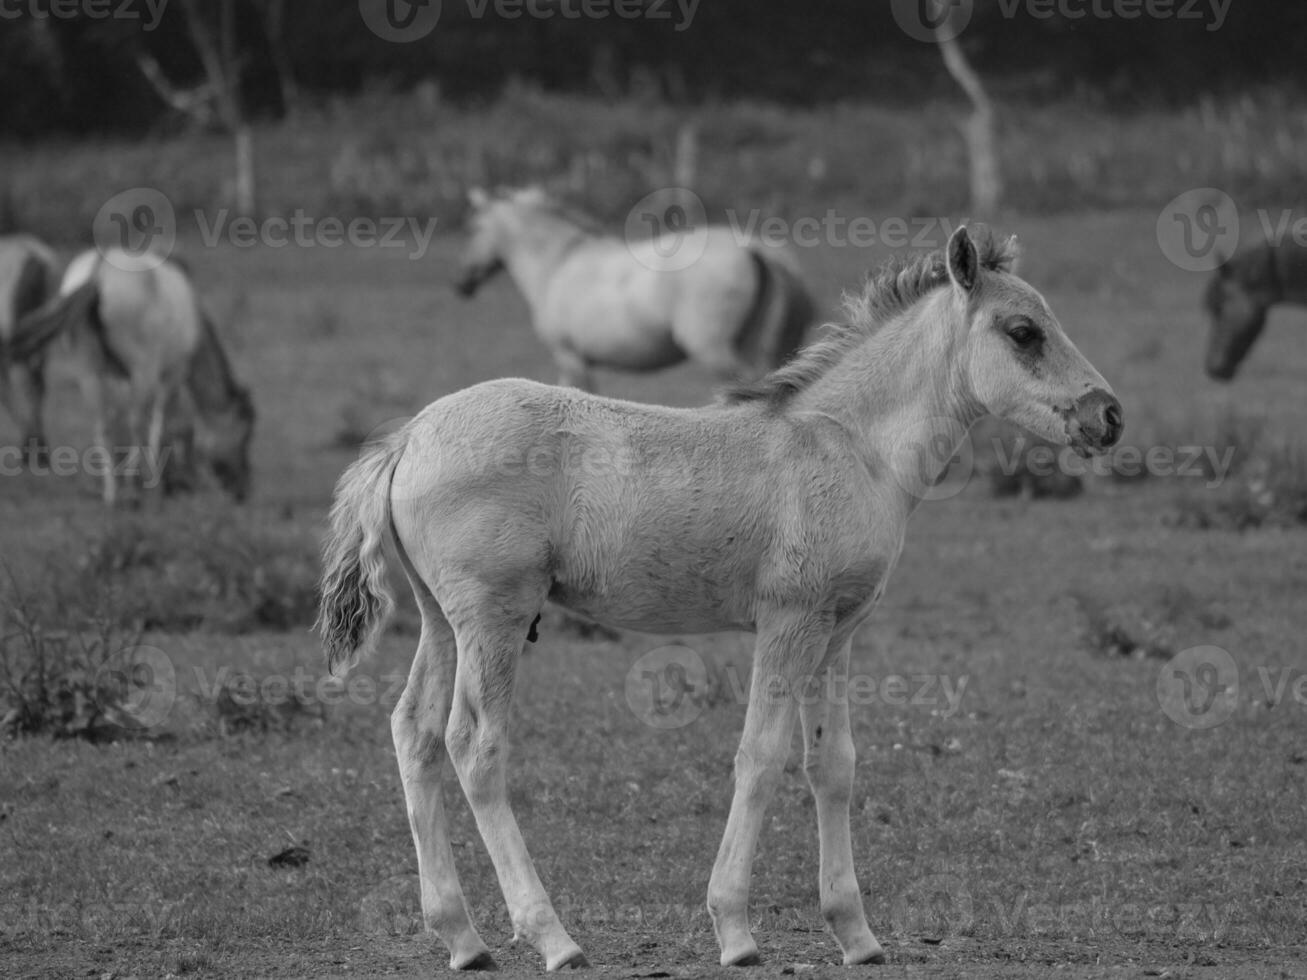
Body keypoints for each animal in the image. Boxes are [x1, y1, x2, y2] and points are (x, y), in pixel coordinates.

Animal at [8, 249, 254, 506]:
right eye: (247, 433)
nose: (243, 490)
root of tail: (98, 272)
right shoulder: (173, 373)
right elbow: (166, 425)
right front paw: (167, 482)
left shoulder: (118, 377)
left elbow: (121, 423)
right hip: (142, 369)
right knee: (137, 424)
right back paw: (137, 488)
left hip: (89, 371)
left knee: (103, 426)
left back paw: (113, 494)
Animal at [316, 229, 1124, 977]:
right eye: (1022, 331)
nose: (1109, 416)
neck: (851, 446)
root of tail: (409, 436)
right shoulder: (789, 621)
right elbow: (760, 757)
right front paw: (734, 931)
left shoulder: (840, 631)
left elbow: (833, 765)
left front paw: (856, 935)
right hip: (495, 617)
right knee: (474, 746)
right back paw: (553, 938)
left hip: (439, 619)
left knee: (414, 733)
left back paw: (462, 939)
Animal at [454, 186, 810, 391]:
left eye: (472, 227)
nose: (461, 284)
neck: (558, 262)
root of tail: (751, 246)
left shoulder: (570, 358)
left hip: (714, 350)